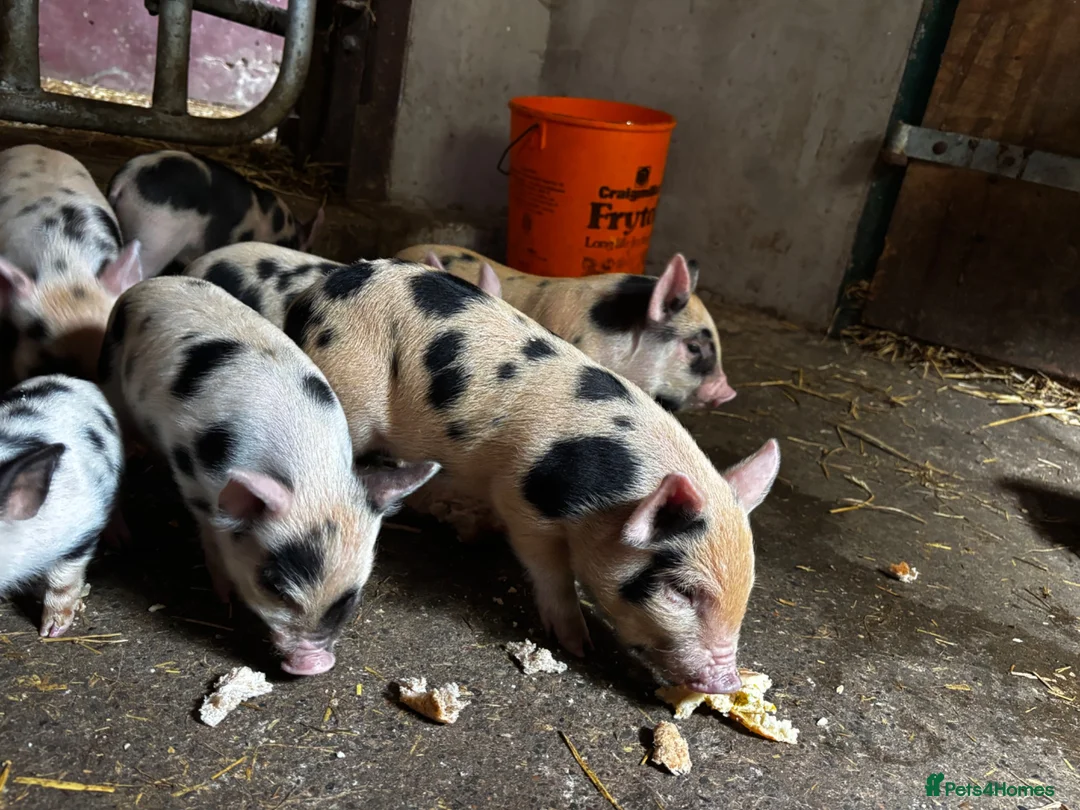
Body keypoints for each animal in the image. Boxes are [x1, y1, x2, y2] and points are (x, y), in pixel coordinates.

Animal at [98, 276, 439, 675]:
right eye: (275, 587)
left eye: (350, 596)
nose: (314, 664)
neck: (311, 473)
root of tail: (152, 282)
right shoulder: (193, 482)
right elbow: (210, 535)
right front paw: (225, 597)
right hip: (110, 376)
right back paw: (122, 540)